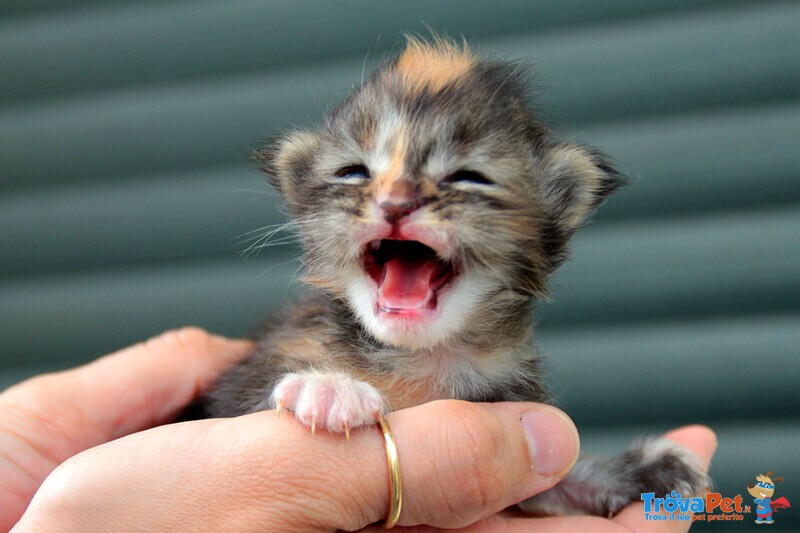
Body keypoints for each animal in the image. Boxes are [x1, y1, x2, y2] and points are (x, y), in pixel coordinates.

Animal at [205, 36, 708, 516]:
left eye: (469, 178)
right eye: (353, 173)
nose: (395, 203)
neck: (426, 357)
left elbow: (554, 485)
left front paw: (645, 471)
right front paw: (328, 386)